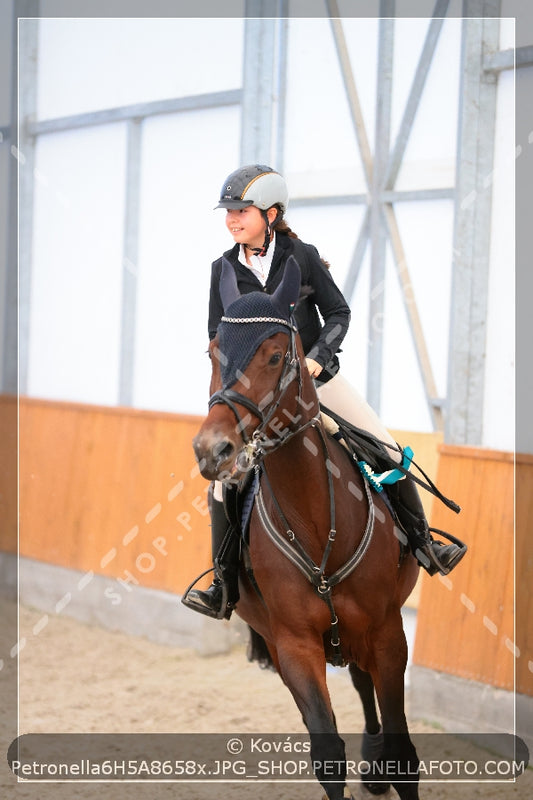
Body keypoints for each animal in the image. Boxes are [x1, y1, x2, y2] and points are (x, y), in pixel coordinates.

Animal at [190, 258, 420, 800]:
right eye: (212, 351)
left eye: (276, 356)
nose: (212, 451)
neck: (318, 528)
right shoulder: (293, 644)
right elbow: (327, 751)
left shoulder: (388, 633)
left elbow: (403, 750)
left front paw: (388, 763)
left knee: (363, 681)